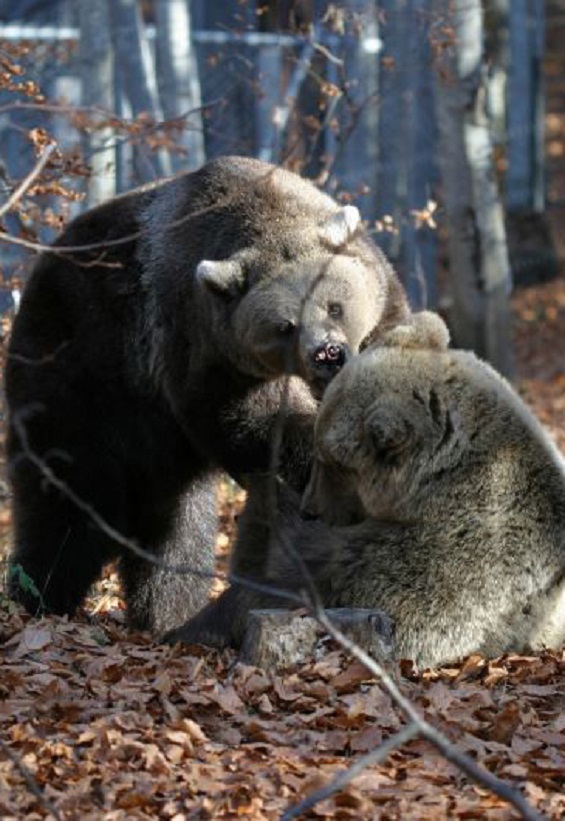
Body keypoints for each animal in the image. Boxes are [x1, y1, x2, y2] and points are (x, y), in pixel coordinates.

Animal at [5, 154, 410, 632]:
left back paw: (166, 610)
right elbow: (253, 423)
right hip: (80, 367)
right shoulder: (201, 346)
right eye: (285, 326)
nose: (327, 353)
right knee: (66, 499)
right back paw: (41, 598)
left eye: (335, 305)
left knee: (175, 527)